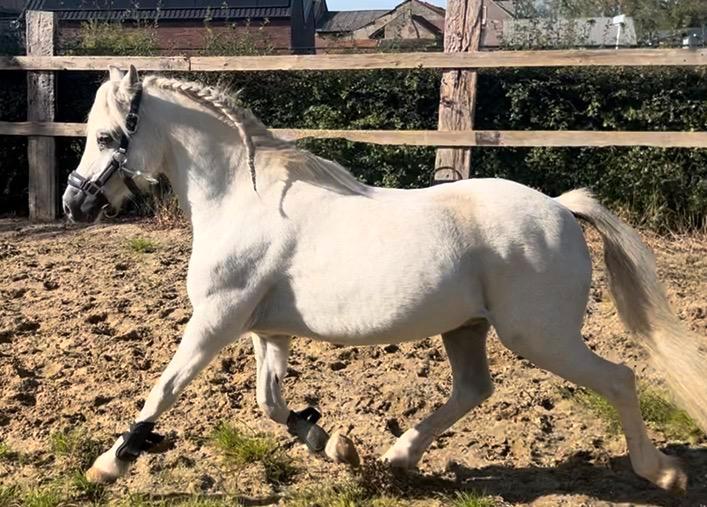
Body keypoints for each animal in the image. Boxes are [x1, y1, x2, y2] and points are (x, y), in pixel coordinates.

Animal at [62, 65, 706, 492]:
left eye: (106, 137)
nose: (74, 203)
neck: (244, 200)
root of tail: (561, 207)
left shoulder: (215, 322)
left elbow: (164, 391)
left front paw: (108, 464)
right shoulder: (267, 331)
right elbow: (270, 403)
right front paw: (335, 446)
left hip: (539, 336)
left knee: (619, 379)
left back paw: (662, 473)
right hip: (467, 328)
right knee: (474, 390)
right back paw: (398, 458)